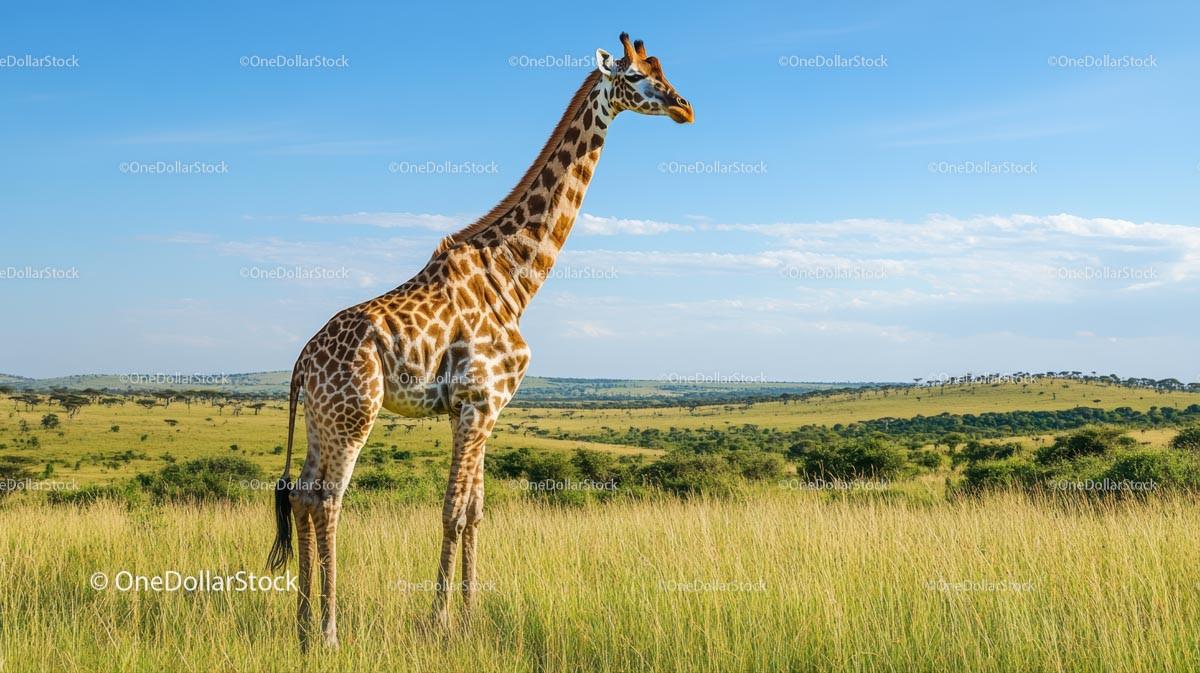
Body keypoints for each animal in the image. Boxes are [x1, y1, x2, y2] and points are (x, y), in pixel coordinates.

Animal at [267, 32, 693, 650]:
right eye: (637, 78)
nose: (686, 107)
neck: (514, 279)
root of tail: (301, 362)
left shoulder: (484, 407)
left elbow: (474, 512)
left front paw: (469, 616)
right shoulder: (476, 401)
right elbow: (449, 511)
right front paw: (439, 621)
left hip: (324, 419)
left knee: (300, 495)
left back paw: (301, 624)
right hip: (354, 414)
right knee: (328, 500)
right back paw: (328, 631)